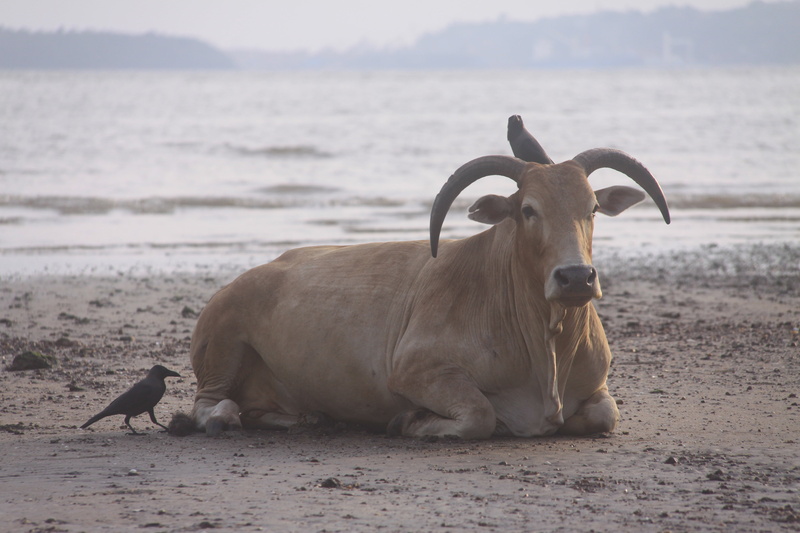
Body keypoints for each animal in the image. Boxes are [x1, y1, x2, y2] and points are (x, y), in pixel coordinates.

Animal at [182, 116, 670, 439]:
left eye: (592, 208)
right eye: (528, 210)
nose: (575, 278)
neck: (546, 345)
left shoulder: (598, 386)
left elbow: (606, 416)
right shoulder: (415, 370)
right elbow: (480, 416)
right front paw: (410, 420)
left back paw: (306, 417)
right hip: (222, 346)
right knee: (208, 403)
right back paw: (225, 417)